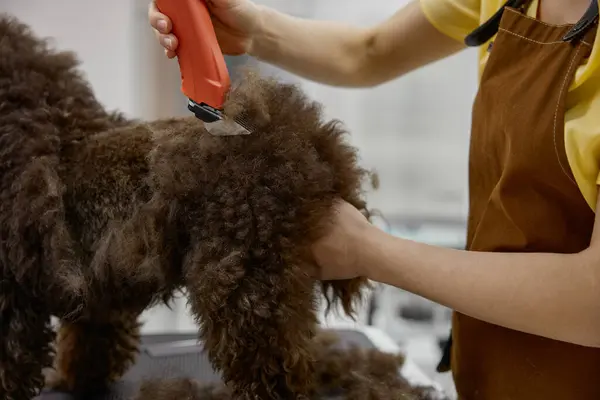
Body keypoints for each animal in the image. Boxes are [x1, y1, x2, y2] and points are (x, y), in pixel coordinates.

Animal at [1, 14, 376, 400]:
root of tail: (303, 137)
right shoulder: (97, 288)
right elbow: (92, 341)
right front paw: (77, 380)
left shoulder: (13, 298)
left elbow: (12, 363)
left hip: (246, 287)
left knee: (274, 371)